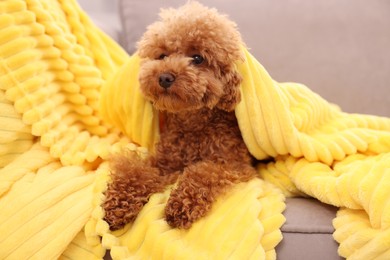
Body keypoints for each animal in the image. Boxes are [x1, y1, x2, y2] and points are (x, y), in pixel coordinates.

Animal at [102, 1, 258, 230]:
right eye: (162, 55)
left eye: (198, 58)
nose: (164, 77)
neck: (193, 126)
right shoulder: (163, 163)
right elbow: (139, 172)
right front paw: (119, 202)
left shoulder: (235, 165)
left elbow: (203, 172)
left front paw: (182, 204)